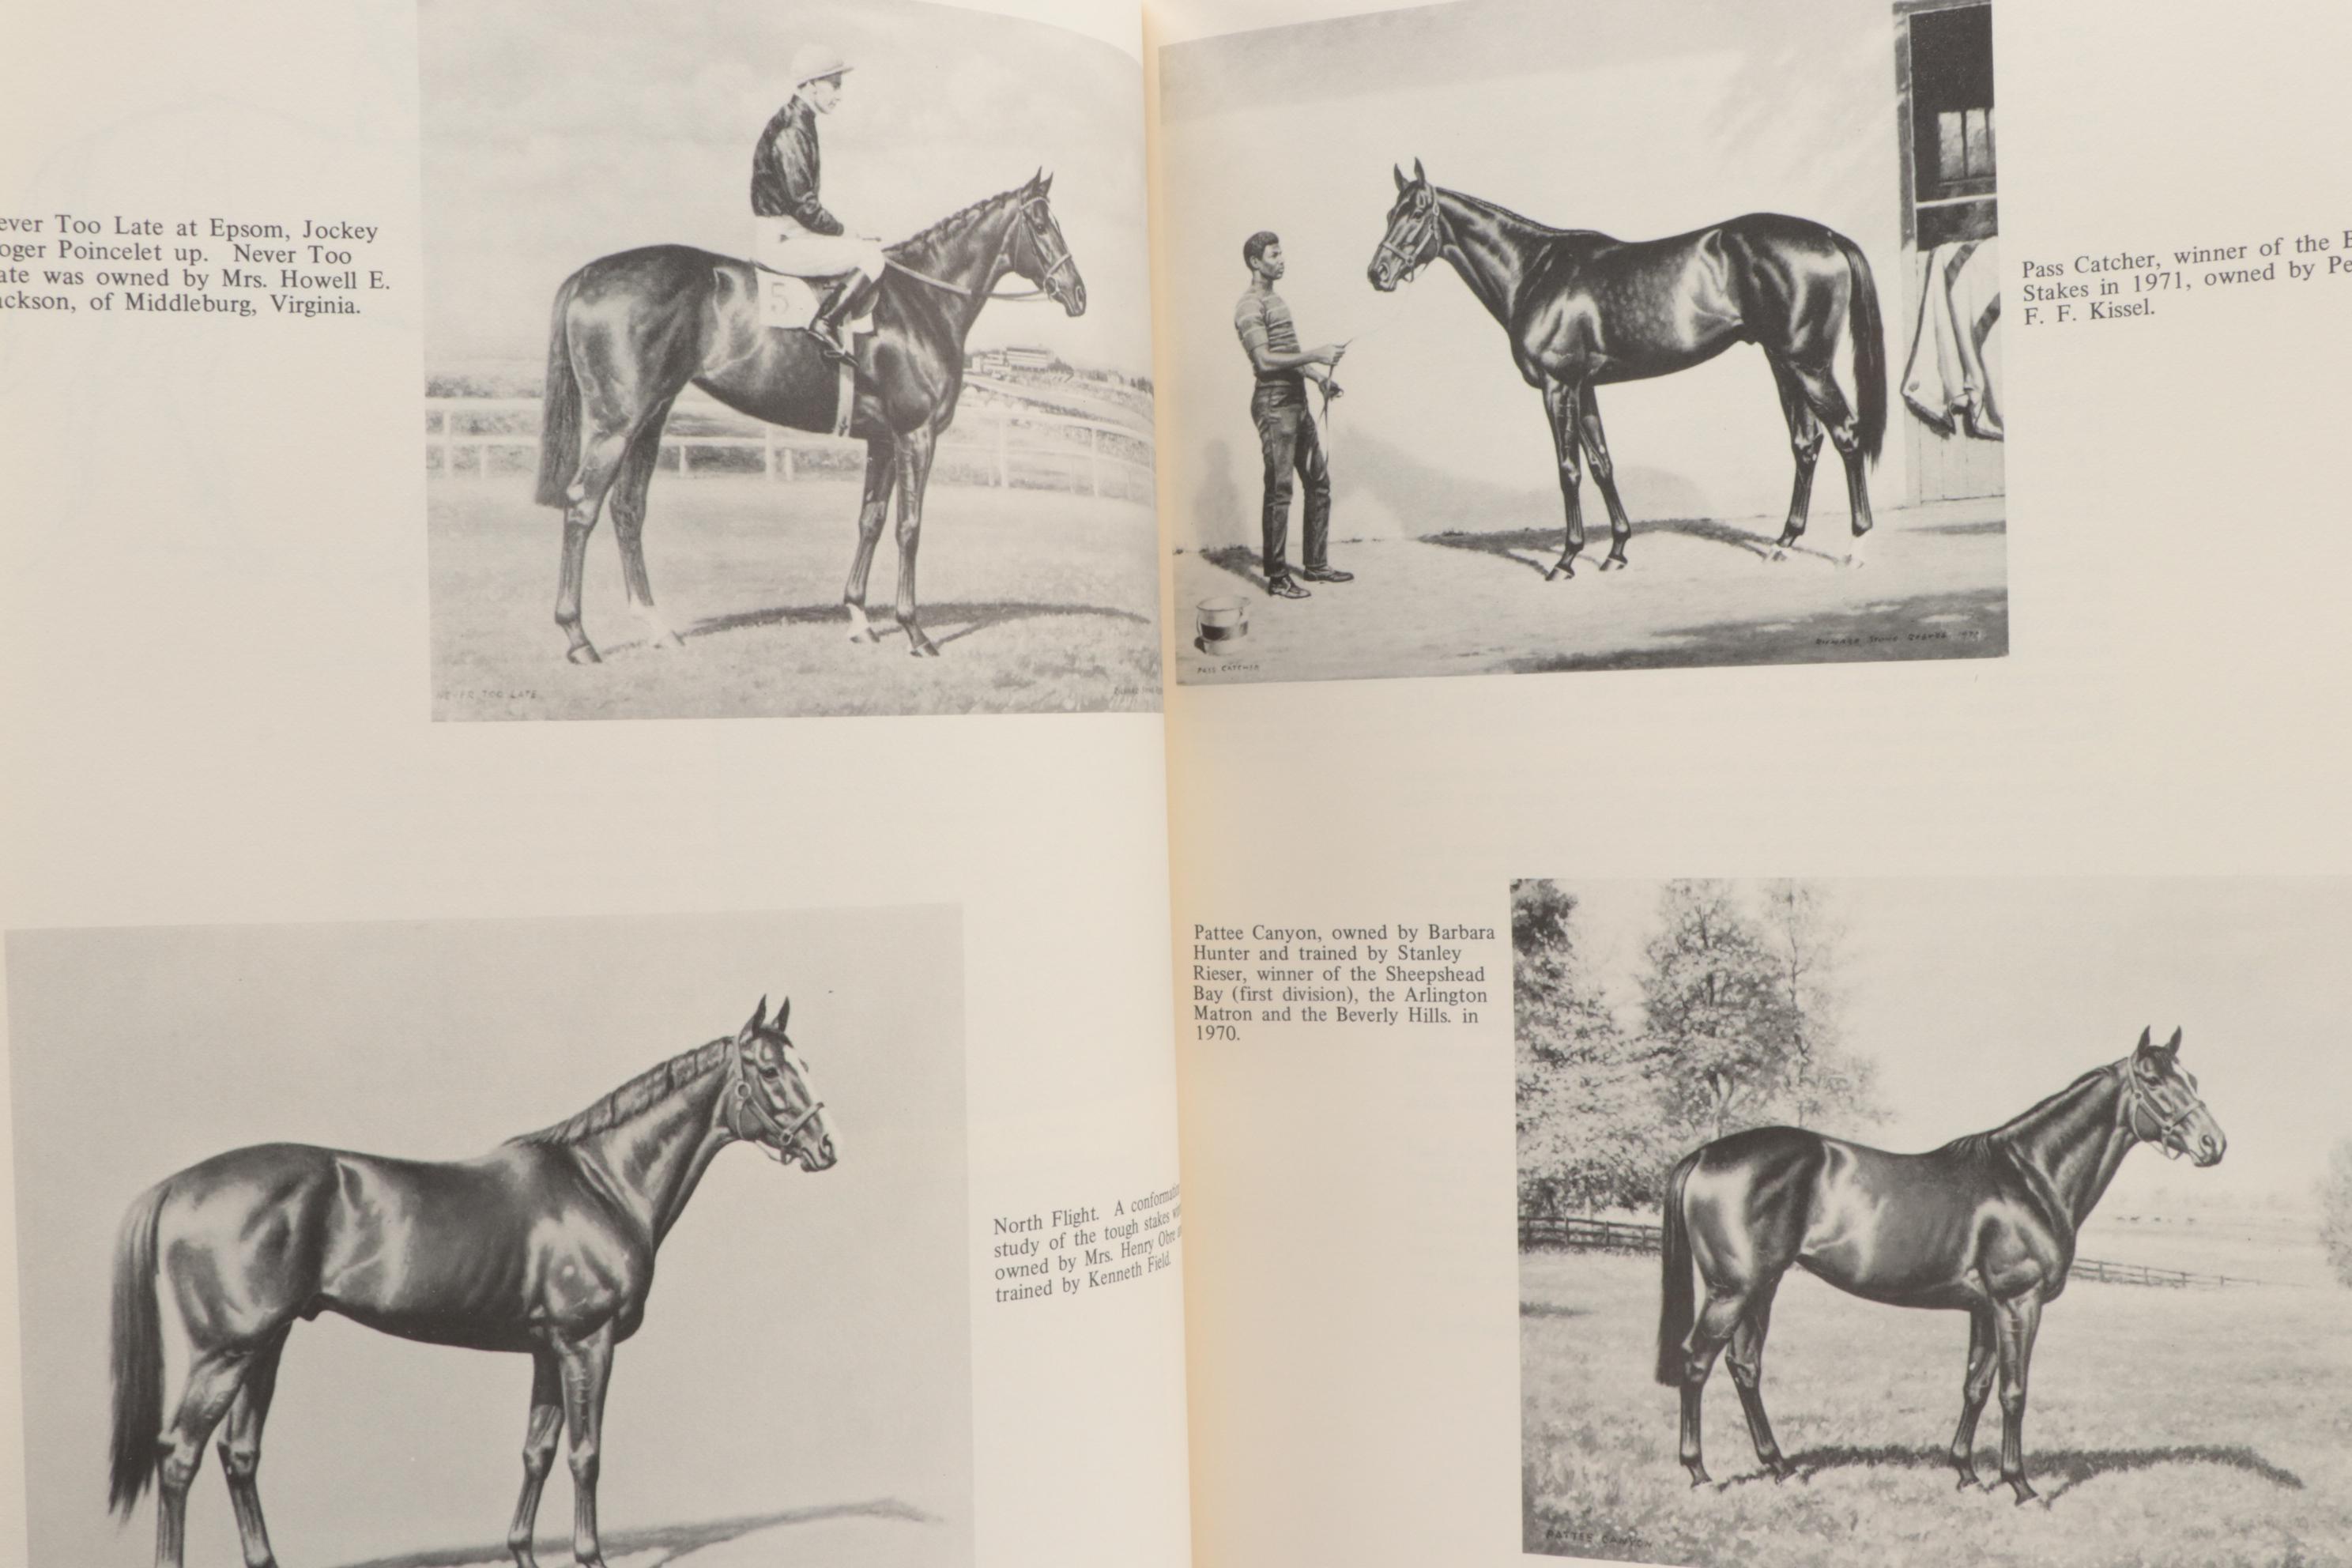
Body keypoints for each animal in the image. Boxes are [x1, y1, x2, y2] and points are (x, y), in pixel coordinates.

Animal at [108, 997, 835, 1568]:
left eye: (803, 1065)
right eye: (771, 1070)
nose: (825, 1148)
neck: (601, 1182)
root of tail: (177, 1186)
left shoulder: (547, 1349)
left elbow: (538, 1451)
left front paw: (522, 1553)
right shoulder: (587, 1342)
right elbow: (586, 1454)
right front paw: (590, 1556)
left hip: (265, 1346)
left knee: (239, 1455)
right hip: (227, 1352)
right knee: (178, 1457)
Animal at [535, 172, 1084, 663]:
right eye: (1040, 223)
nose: (1077, 293)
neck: (920, 304)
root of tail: (590, 274)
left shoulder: (883, 440)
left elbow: (871, 520)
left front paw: (860, 619)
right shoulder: (917, 435)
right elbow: (909, 525)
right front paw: (914, 631)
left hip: (651, 418)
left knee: (628, 510)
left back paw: (657, 627)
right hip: (617, 424)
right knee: (583, 506)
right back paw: (578, 638)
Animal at [1366, 161, 1886, 576]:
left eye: (1417, 213)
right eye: (1390, 213)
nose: (1378, 274)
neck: (1537, 271)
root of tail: (1829, 238)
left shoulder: (1558, 386)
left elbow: (1569, 469)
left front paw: (1566, 559)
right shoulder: (1585, 387)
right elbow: (1601, 464)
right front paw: (1616, 551)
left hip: (1808, 363)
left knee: (1846, 434)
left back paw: (1857, 547)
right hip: (1783, 362)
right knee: (1806, 444)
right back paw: (1784, 542)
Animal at [1656, 1027, 2224, 1505]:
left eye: (2192, 1079)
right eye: (2153, 1080)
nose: (2213, 1144)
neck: (2029, 1178)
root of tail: (1704, 1155)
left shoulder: (1985, 1308)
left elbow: (1975, 1386)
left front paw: (1968, 1474)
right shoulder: (2019, 1301)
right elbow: (2014, 1391)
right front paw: (2021, 1487)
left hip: (1762, 1286)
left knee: (1744, 1367)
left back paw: (1779, 1467)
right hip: (1733, 1289)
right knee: (1696, 1363)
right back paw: (1700, 1473)